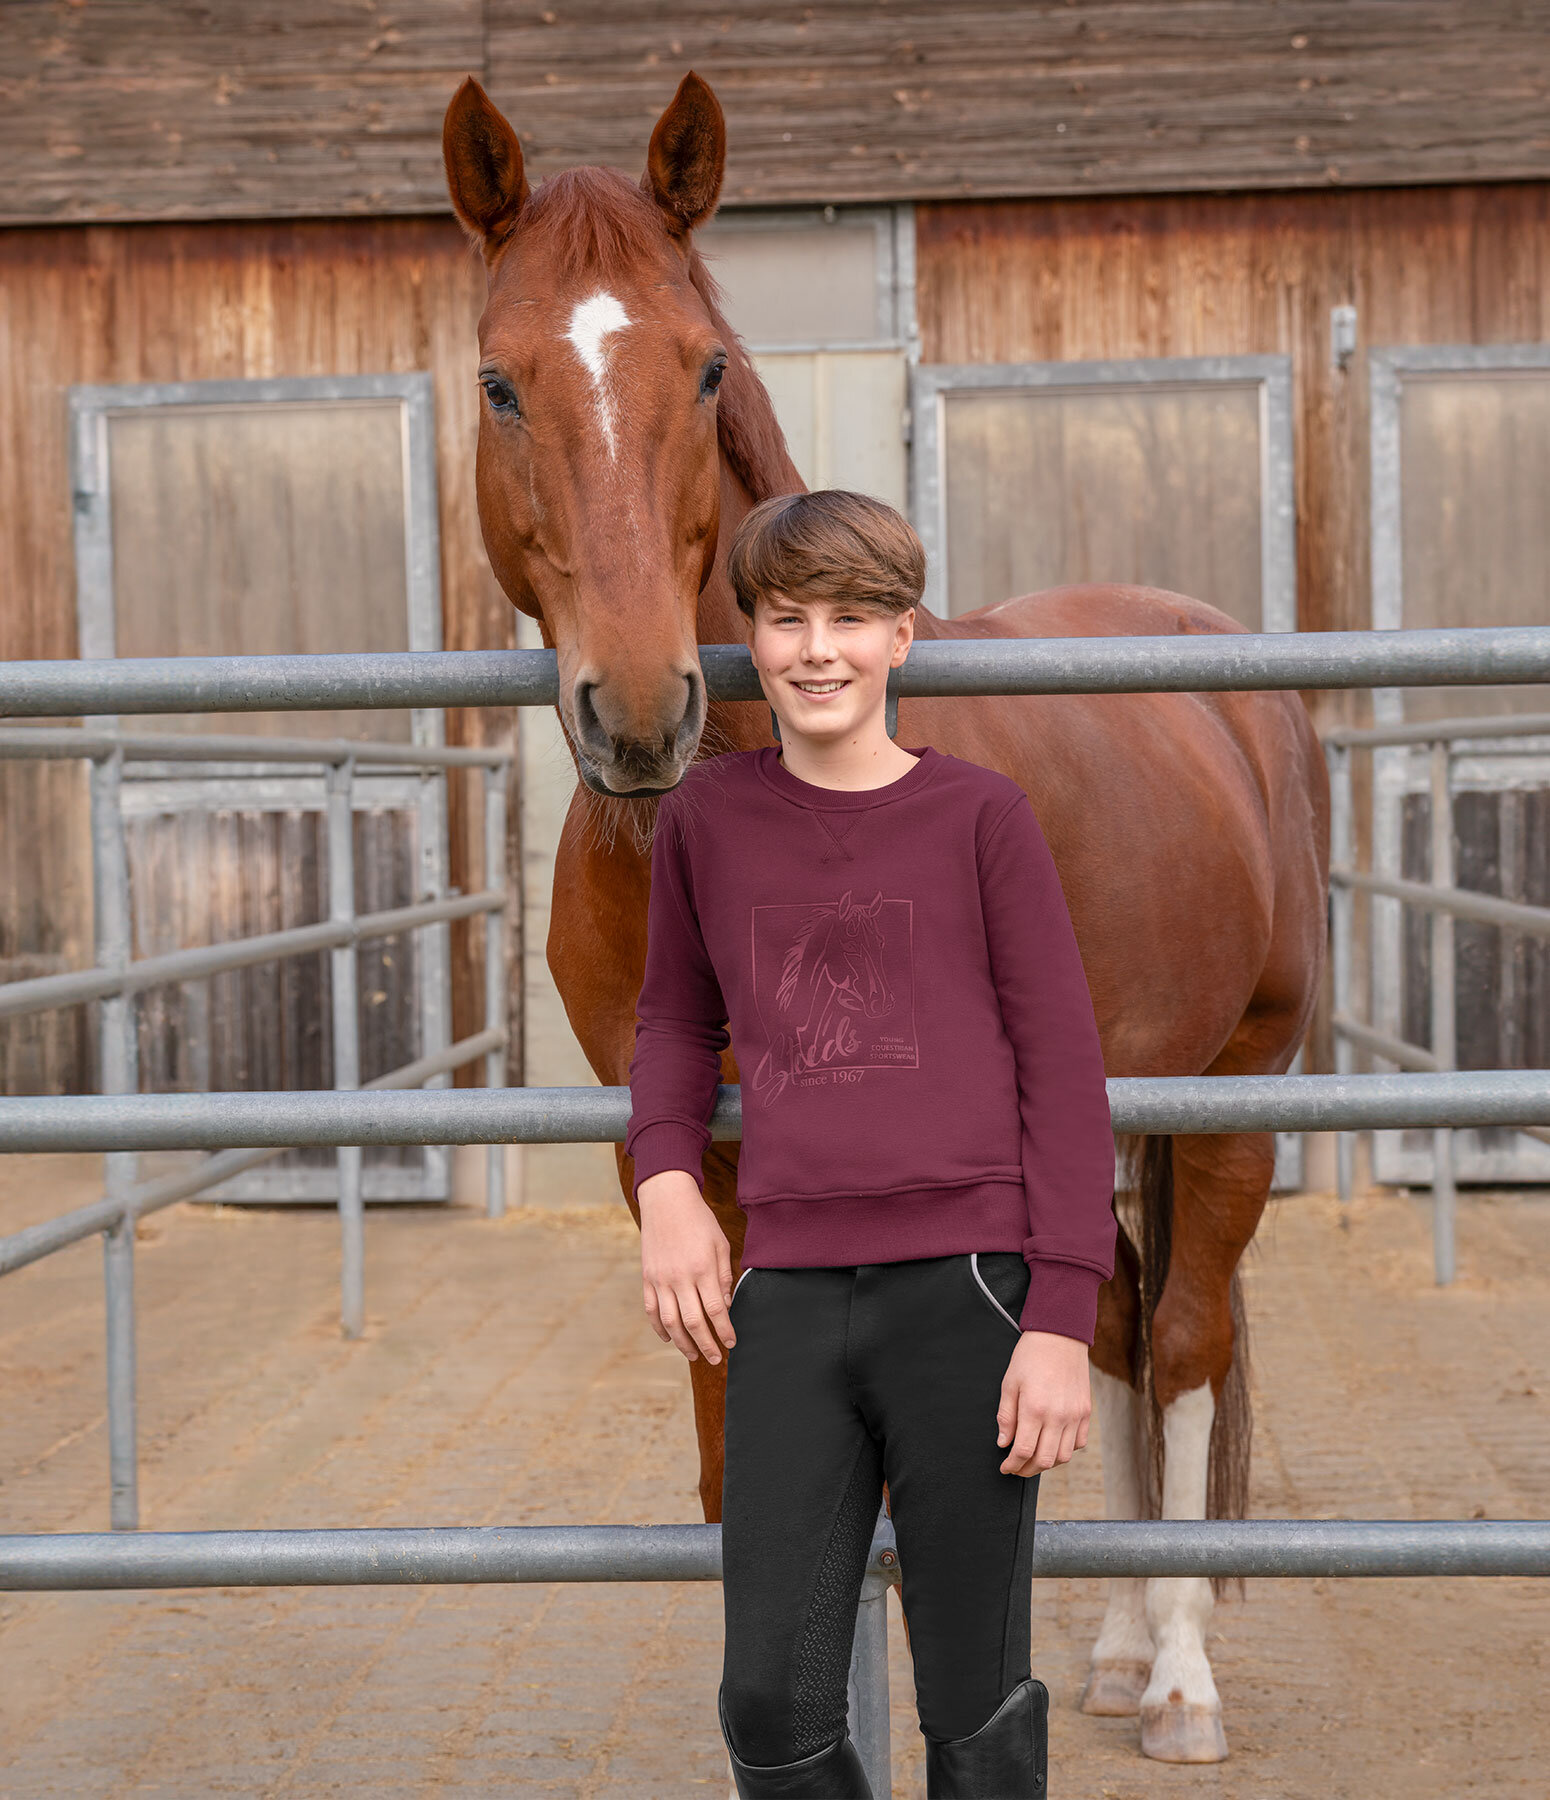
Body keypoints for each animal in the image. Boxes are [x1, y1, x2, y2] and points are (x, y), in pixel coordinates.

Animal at [441, 73, 1324, 1771]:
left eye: (705, 365)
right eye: (500, 382)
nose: (638, 711)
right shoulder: (685, 1179)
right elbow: (739, 1475)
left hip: (1237, 1088)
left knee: (1183, 1343)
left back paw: (1179, 1682)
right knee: (1118, 1330)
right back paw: (1120, 1653)